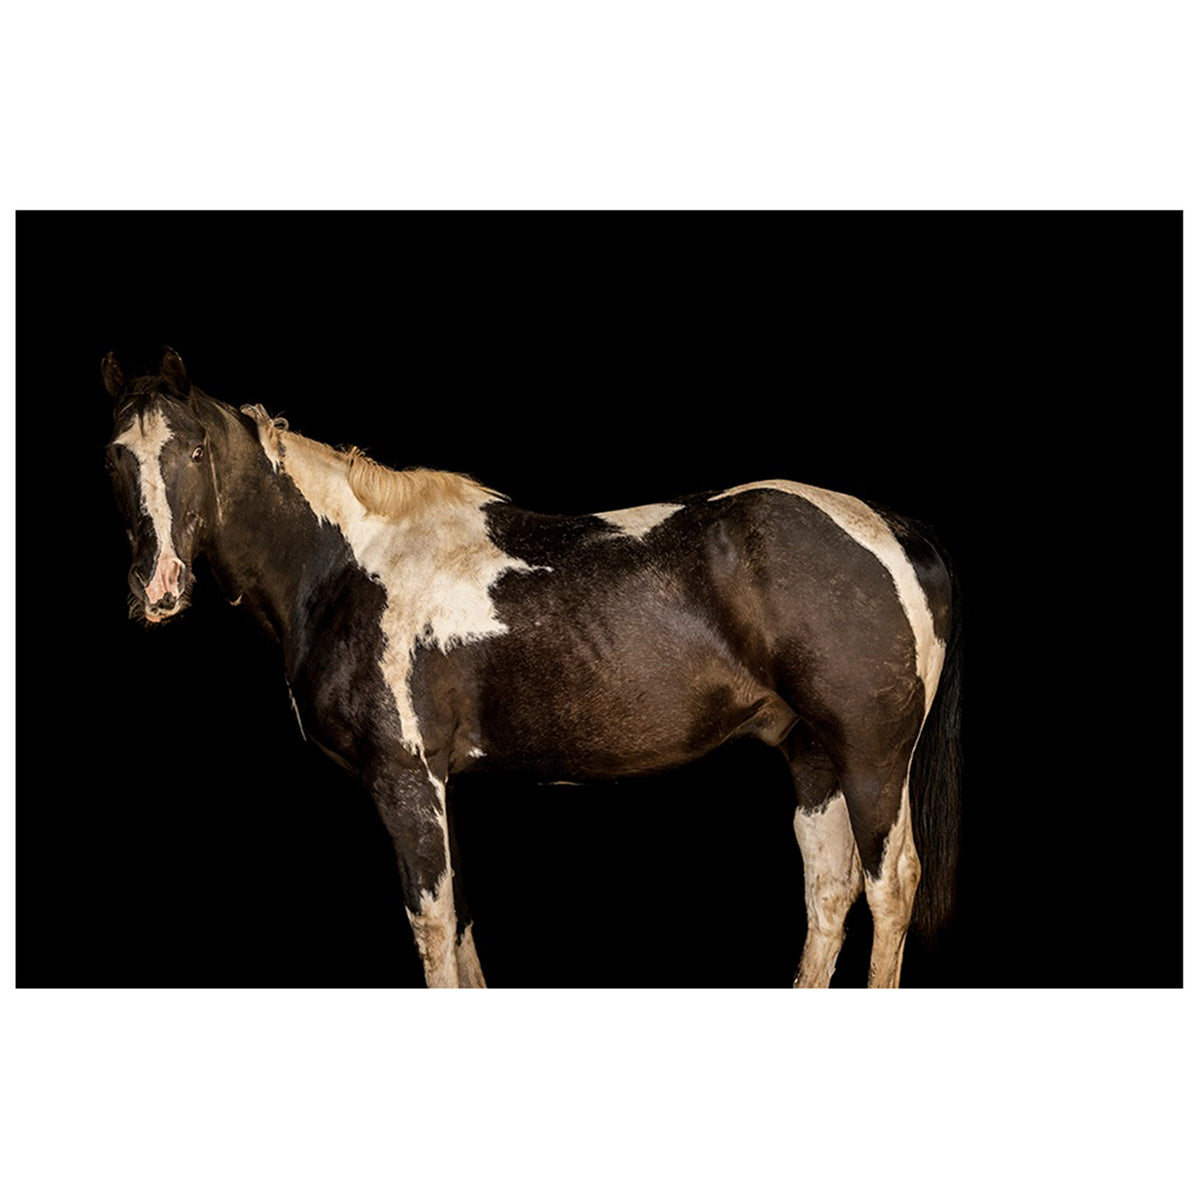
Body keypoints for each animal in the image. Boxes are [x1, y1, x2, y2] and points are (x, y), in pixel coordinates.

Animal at [104, 347, 961, 987]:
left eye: (194, 449)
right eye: (115, 459)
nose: (158, 588)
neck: (348, 562)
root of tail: (891, 530)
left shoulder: (406, 782)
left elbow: (433, 928)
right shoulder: (442, 788)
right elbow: (461, 927)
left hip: (871, 755)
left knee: (889, 887)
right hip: (810, 754)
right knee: (830, 893)